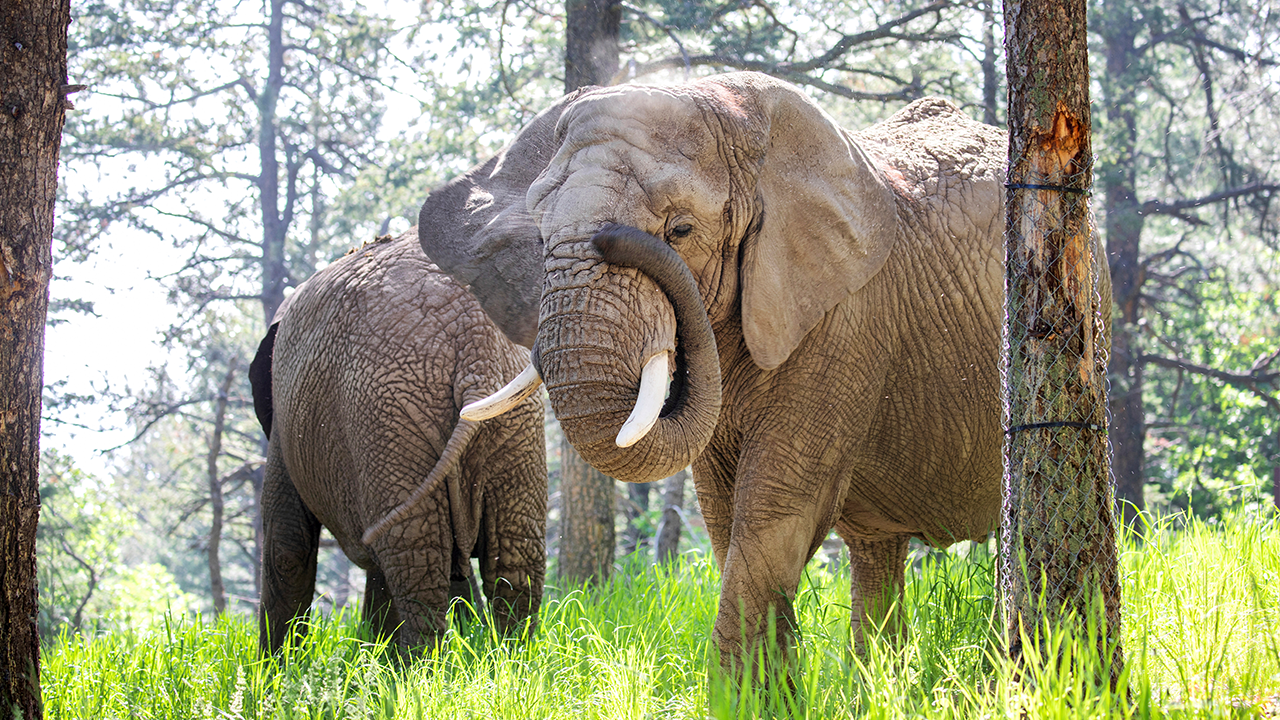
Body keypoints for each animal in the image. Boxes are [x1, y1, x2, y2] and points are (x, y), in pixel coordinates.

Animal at [248, 229, 547, 655]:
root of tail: (472, 343)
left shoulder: (284, 427)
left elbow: (287, 545)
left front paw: (273, 670)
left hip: (386, 417)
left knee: (415, 560)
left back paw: (416, 668)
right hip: (511, 422)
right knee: (514, 560)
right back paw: (509, 662)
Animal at [418, 72, 1106, 669]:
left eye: (681, 229)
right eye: (539, 242)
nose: (615, 236)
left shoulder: (847, 318)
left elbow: (775, 506)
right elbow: (724, 516)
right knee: (875, 553)